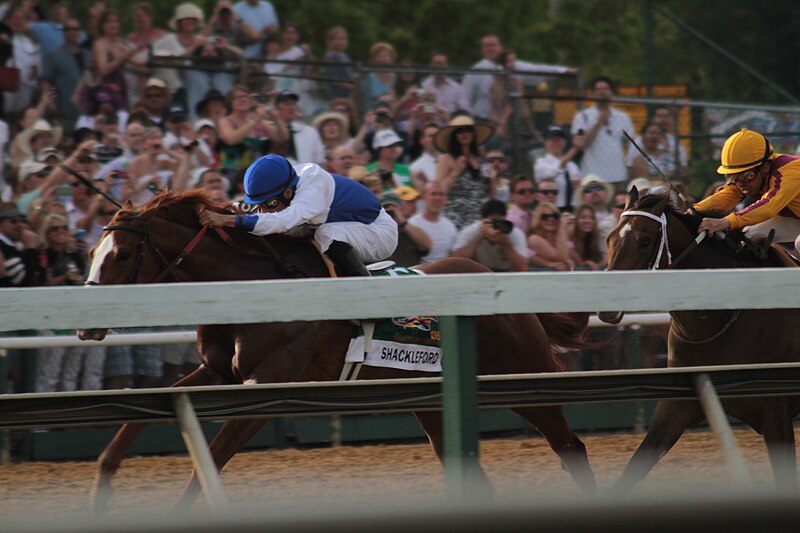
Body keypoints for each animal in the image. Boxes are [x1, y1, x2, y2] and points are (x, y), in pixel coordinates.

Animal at [78, 191, 596, 512]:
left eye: (122, 255)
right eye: (91, 252)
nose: (84, 326)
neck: (257, 286)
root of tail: (495, 277)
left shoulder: (268, 389)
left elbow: (209, 463)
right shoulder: (218, 374)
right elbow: (138, 419)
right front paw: (101, 488)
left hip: (526, 378)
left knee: (571, 449)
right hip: (432, 399)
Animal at [600, 188, 800, 494]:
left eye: (644, 241)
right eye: (609, 238)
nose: (606, 308)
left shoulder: (776, 410)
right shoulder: (677, 405)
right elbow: (633, 470)